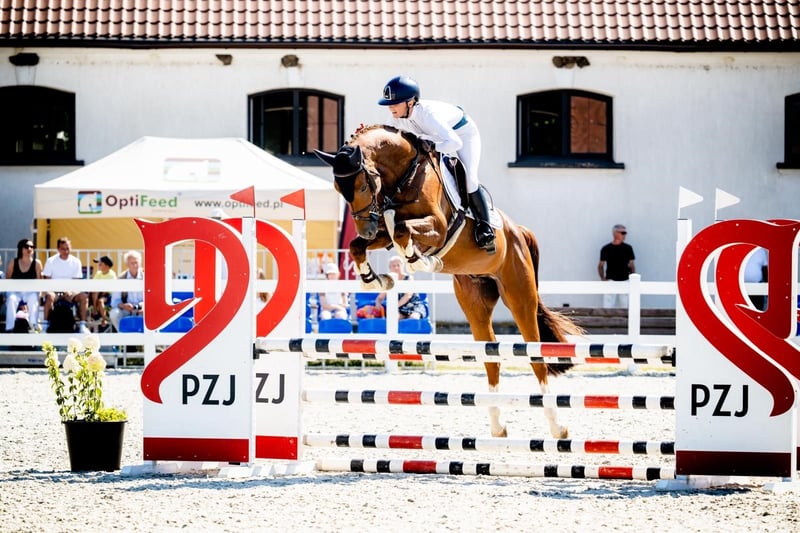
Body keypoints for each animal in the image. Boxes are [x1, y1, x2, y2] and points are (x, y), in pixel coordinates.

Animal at [315, 124, 582, 438]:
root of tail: (518, 231)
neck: (403, 177)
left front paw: (420, 260)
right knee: (491, 355)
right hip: (475, 301)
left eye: (363, 186)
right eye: (337, 190)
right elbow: (362, 244)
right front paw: (375, 280)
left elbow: (402, 230)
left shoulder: (437, 228)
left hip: (520, 295)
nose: (365, 228)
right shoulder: (382, 231)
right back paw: (498, 427)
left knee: (536, 357)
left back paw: (557, 427)